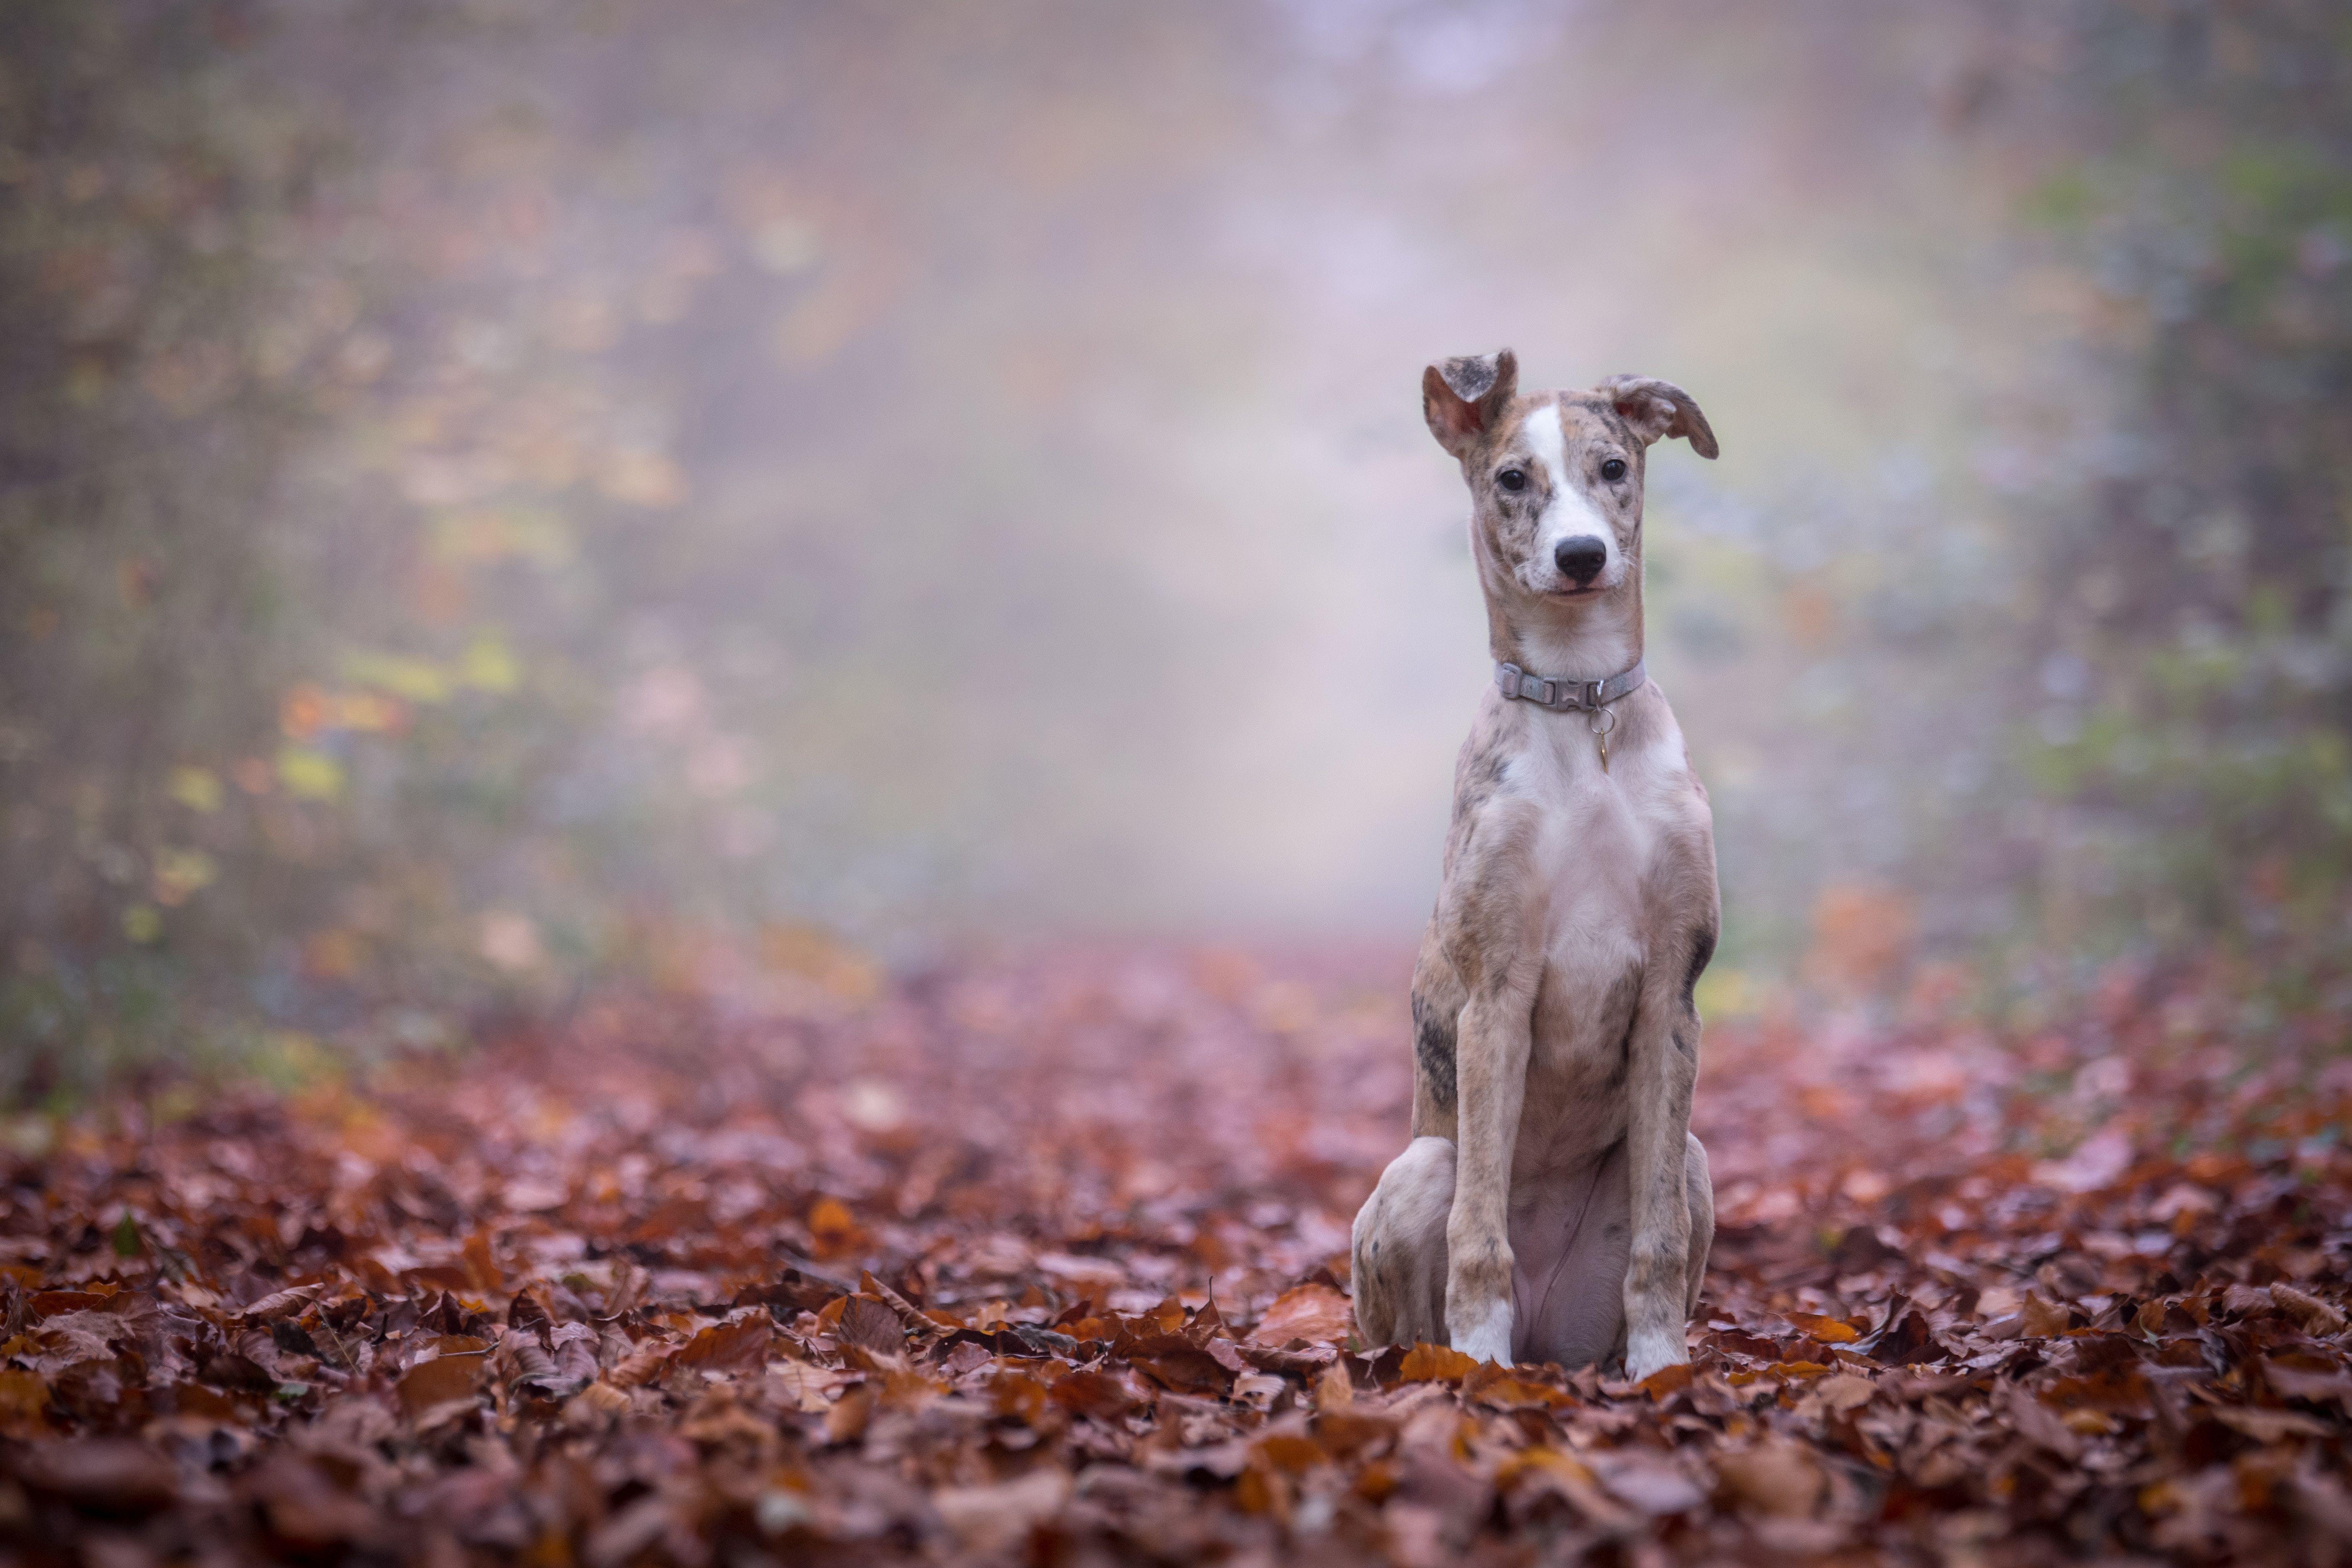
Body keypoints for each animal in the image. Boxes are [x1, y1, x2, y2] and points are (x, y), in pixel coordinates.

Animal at [1355, 350, 1721, 1382]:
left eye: (1614, 467)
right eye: (1512, 478)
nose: (1581, 557)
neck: (1578, 702)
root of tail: (1550, 1343)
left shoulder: (1670, 992)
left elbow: (1656, 1244)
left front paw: (1663, 1370)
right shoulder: (1496, 994)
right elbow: (1479, 1234)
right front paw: (1478, 1368)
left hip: (1691, 1159)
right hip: (1417, 1171)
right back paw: (1461, 1360)